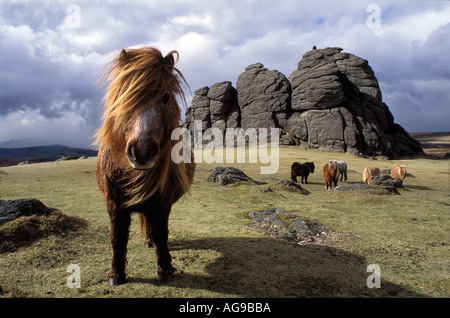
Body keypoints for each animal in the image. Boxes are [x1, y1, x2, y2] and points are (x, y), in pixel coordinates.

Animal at [95, 46, 195, 286]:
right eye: (126, 97)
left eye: (165, 98)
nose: (142, 152)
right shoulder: (114, 204)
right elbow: (117, 237)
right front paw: (116, 274)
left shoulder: (162, 203)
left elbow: (161, 234)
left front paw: (165, 269)